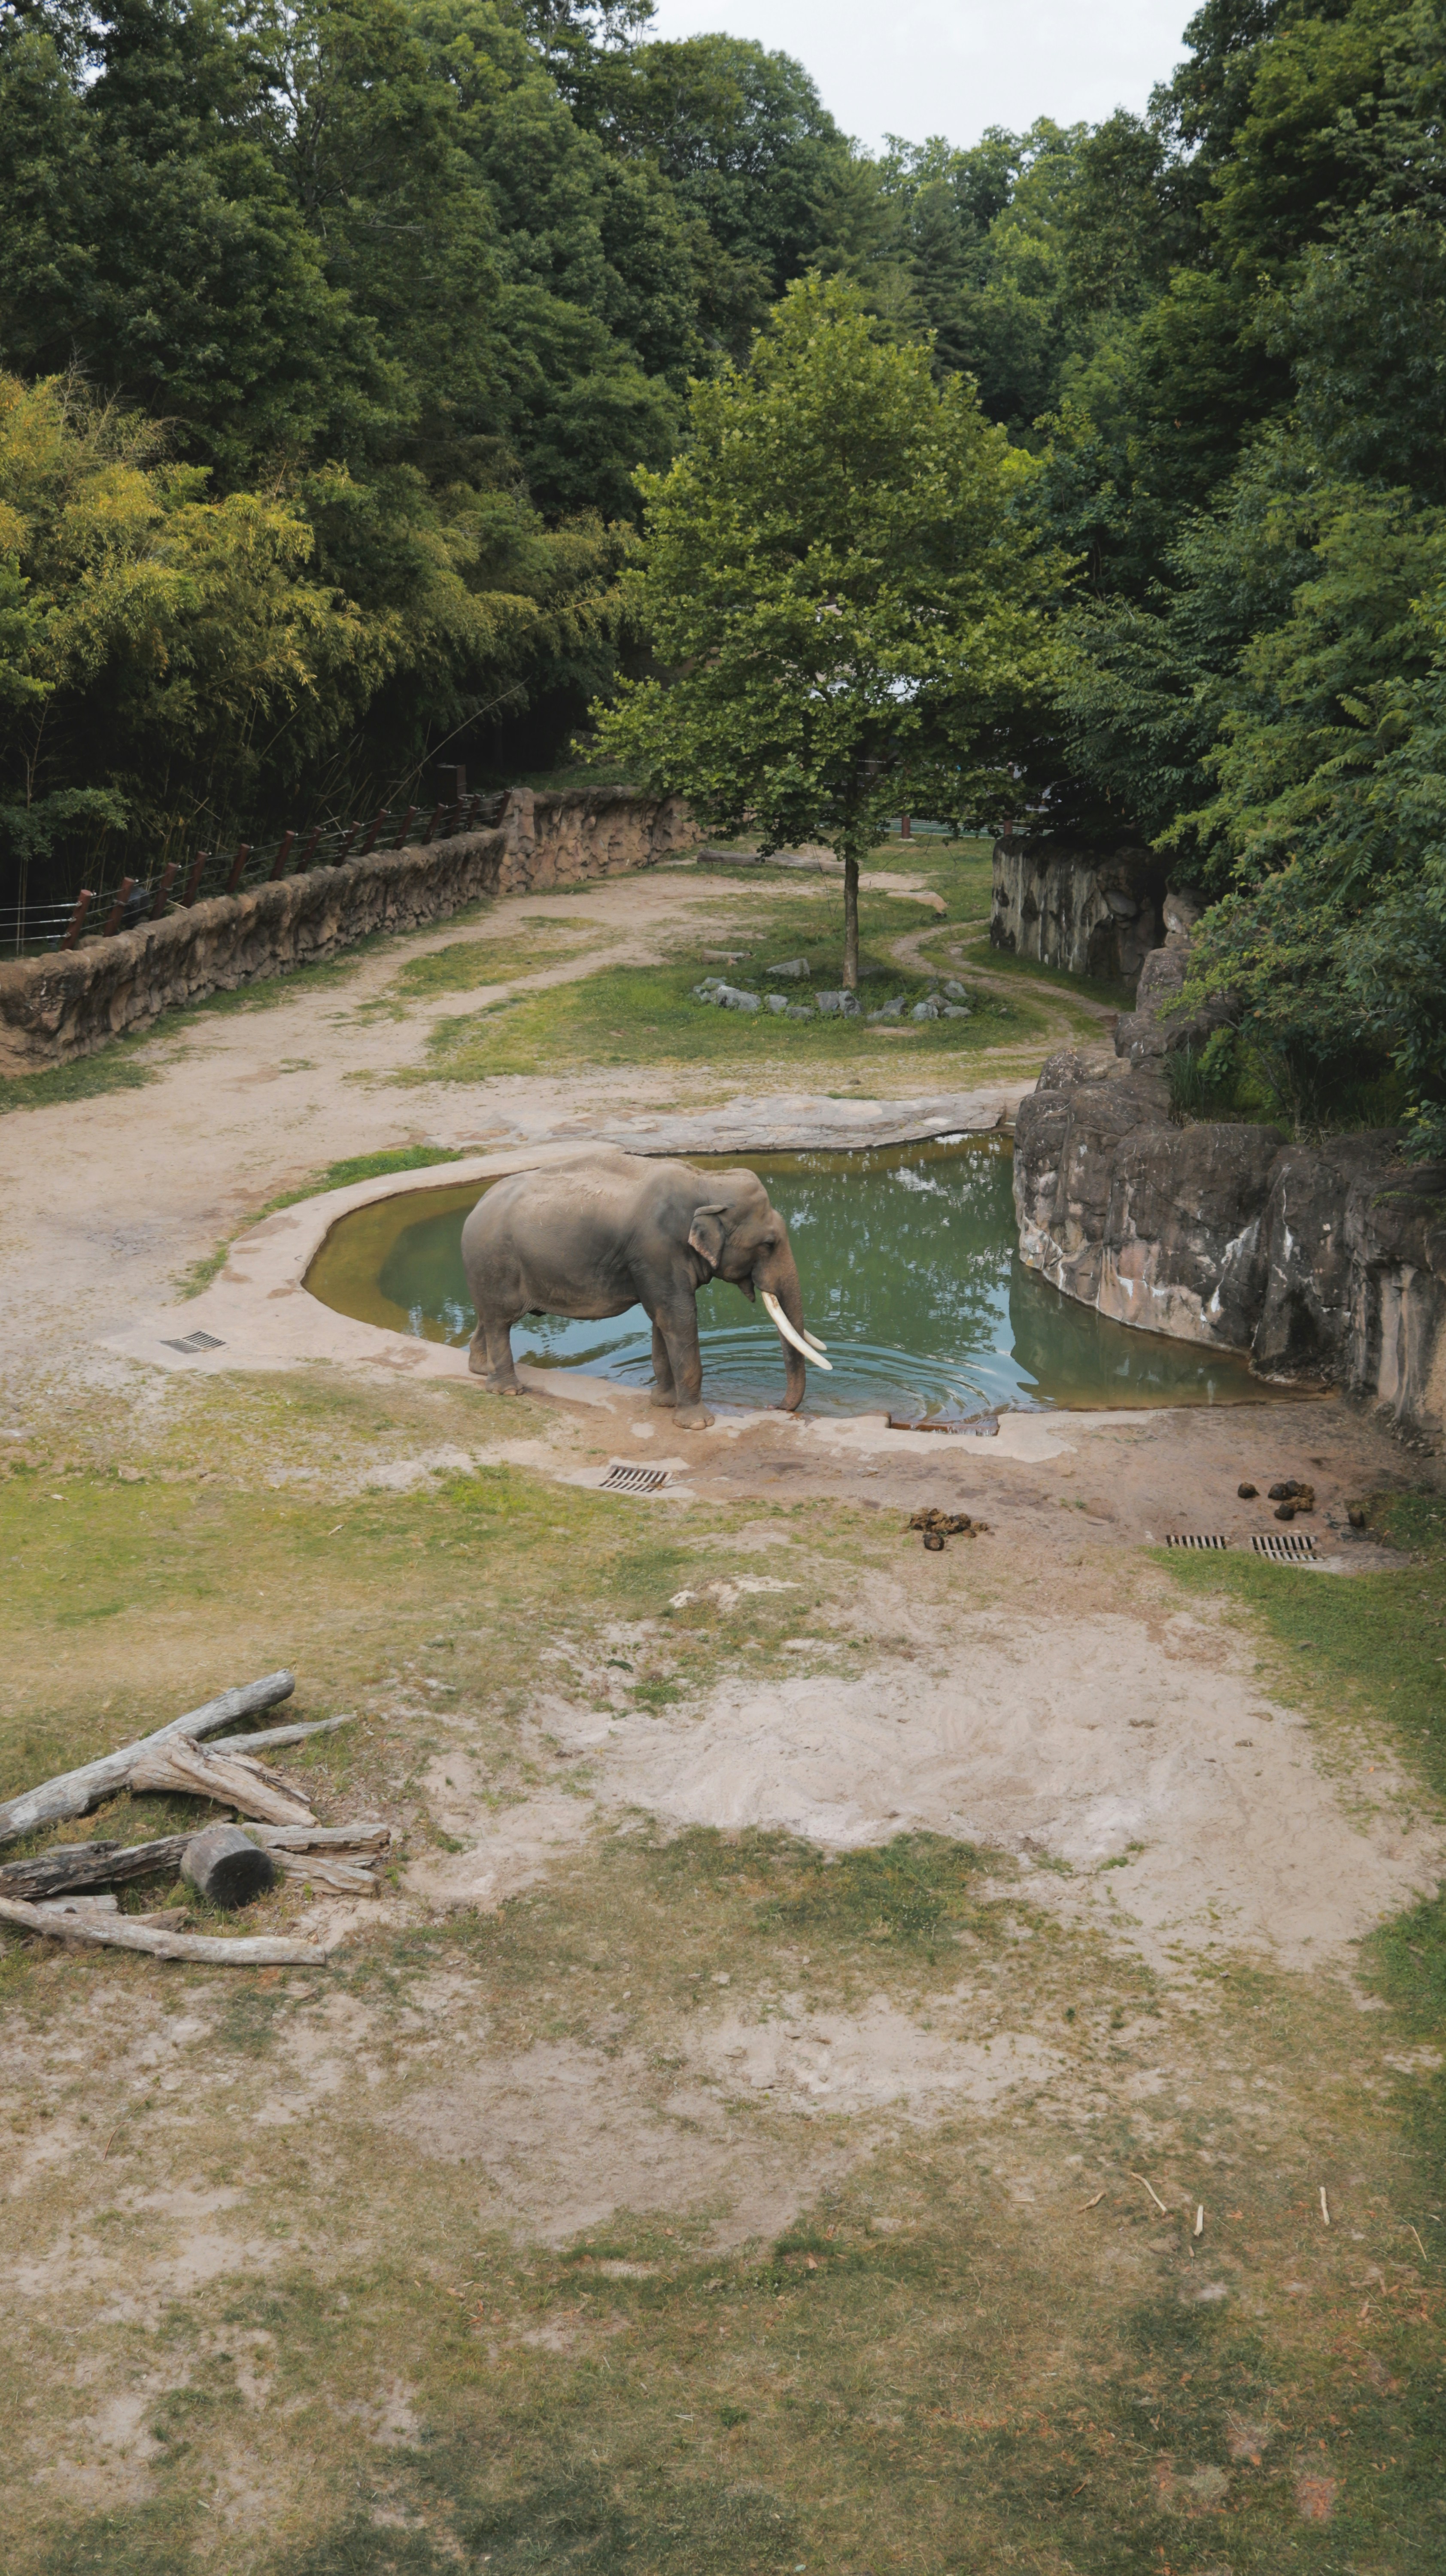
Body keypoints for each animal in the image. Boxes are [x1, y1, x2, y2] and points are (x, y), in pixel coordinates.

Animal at [459, 1148, 828, 1428]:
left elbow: (661, 1321)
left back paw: (480, 1368)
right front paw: (698, 1424)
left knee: (490, 1317)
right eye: (769, 1244)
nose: (775, 1407)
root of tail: (475, 1208)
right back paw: (507, 1391)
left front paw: (664, 1403)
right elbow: (679, 1317)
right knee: (500, 1320)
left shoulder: (656, 1263)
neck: (707, 1179)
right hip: (495, 1261)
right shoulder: (657, 1250)